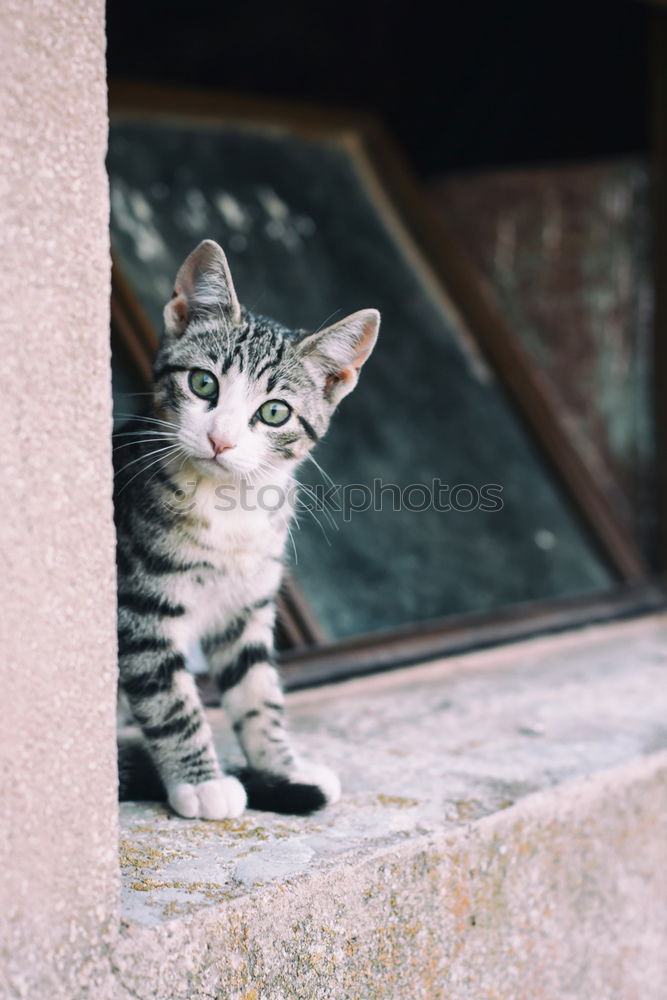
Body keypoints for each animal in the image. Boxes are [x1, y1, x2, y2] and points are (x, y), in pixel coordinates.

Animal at [115, 238, 380, 816]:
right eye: (203, 383)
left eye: (275, 412)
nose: (222, 440)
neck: (227, 506)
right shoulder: (139, 607)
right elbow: (169, 696)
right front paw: (202, 781)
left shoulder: (249, 606)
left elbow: (258, 691)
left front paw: (280, 767)